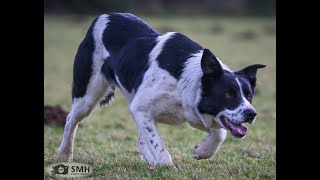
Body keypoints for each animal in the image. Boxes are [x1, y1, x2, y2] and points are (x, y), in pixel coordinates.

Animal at [57, 13, 264, 167]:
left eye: (249, 96)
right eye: (228, 94)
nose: (251, 114)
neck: (185, 80)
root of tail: (103, 16)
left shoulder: (193, 113)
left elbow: (220, 133)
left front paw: (201, 151)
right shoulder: (140, 108)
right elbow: (158, 144)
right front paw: (166, 165)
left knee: (141, 139)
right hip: (88, 95)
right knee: (70, 119)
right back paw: (64, 154)